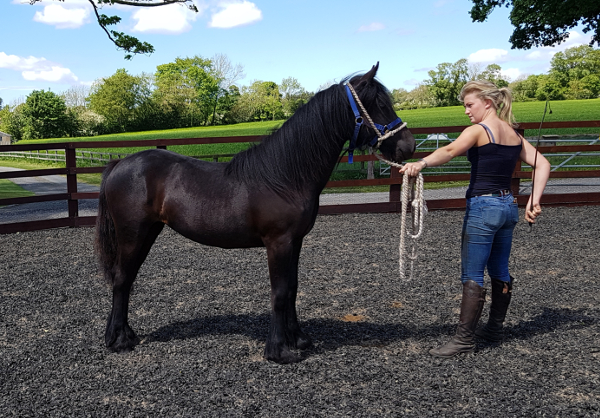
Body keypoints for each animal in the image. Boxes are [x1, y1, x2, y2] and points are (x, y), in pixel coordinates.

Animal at [96, 64, 414, 362]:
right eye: (379, 104)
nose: (407, 146)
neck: (284, 176)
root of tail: (120, 163)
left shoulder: (295, 242)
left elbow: (292, 288)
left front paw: (298, 339)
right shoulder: (278, 242)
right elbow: (280, 293)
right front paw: (279, 350)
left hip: (148, 232)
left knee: (126, 279)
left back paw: (124, 335)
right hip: (133, 234)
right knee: (122, 279)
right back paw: (119, 340)